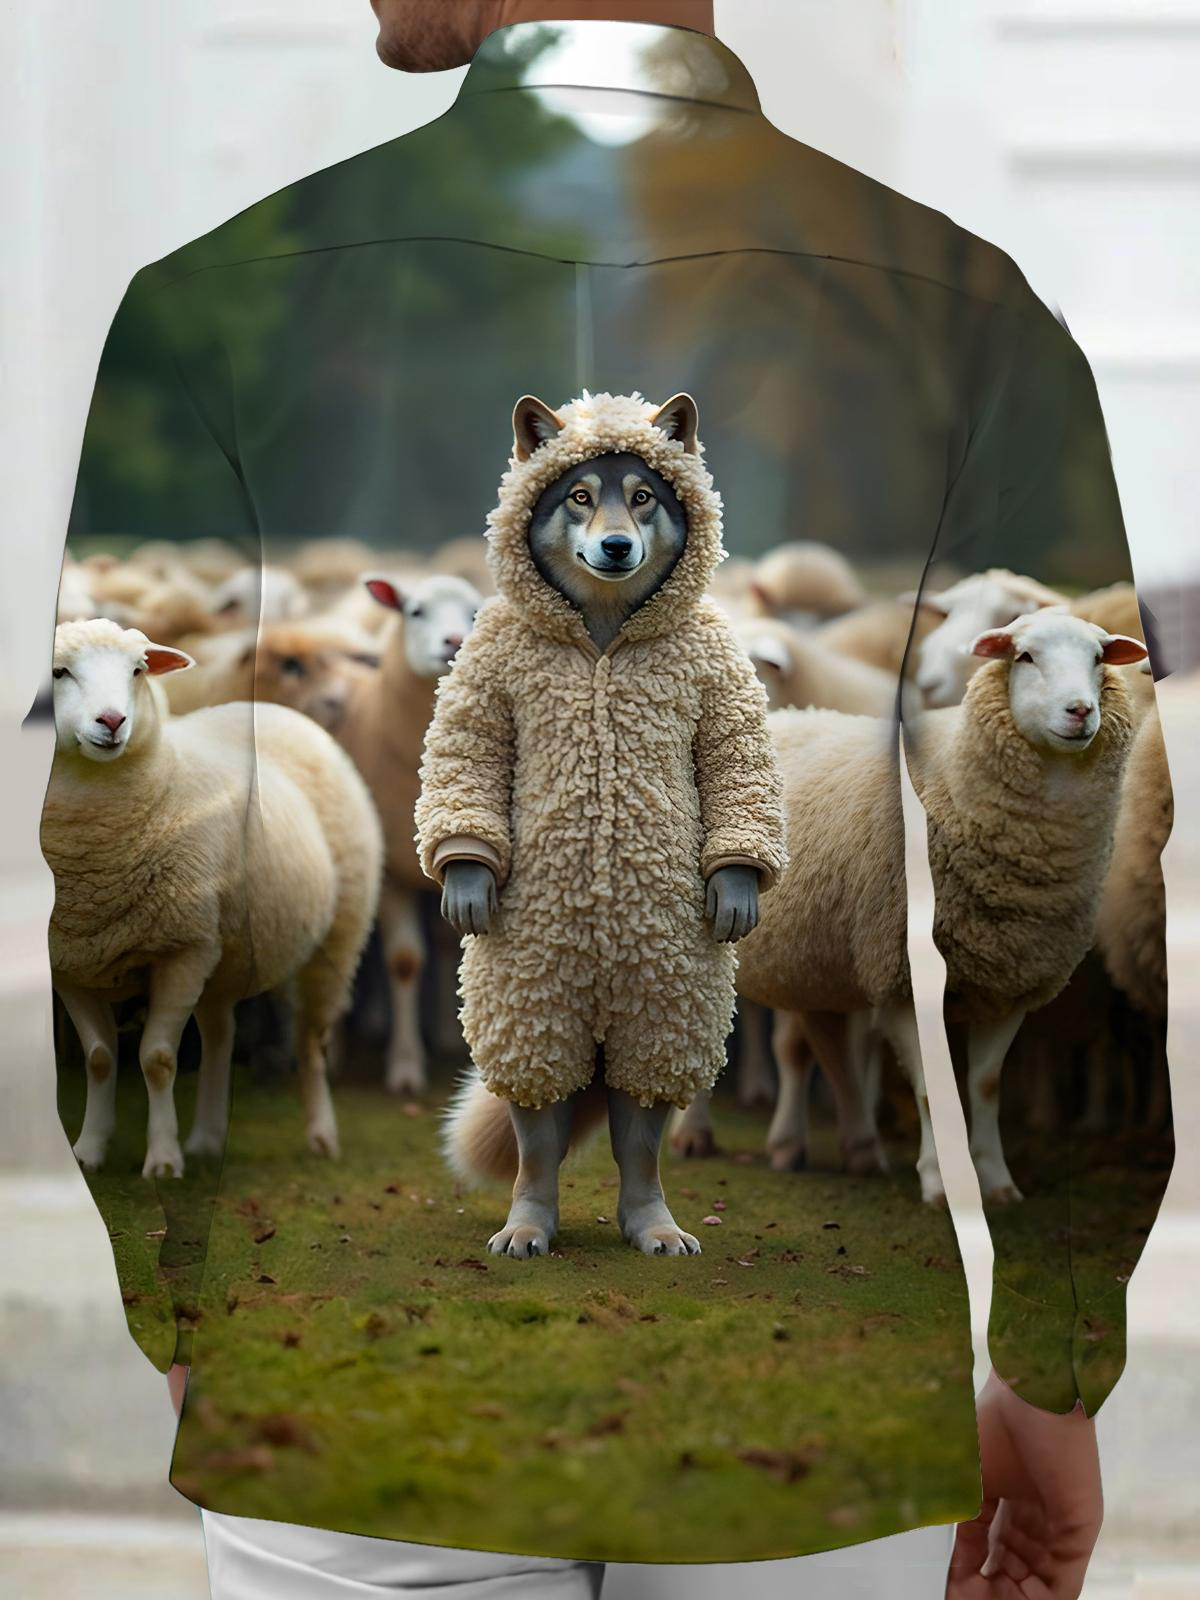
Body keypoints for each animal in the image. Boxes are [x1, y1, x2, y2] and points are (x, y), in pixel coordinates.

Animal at [41, 619, 382, 1177]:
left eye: (138, 670)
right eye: (59, 672)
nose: (112, 721)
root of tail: (273, 709)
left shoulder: (182, 948)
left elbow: (157, 1059)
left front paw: (162, 1160)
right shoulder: (72, 963)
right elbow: (100, 1058)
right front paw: (88, 1150)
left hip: (336, 936)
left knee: (310, 1040)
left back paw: (321, 1136)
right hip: (224, 953)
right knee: (221, 1035)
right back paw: (206, 1137)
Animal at [332, 571, 482, 1094]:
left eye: (474, 612)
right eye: (414, 611)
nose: (454, 641)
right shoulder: (392, 872)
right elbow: (403, 961)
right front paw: (404, 1065)